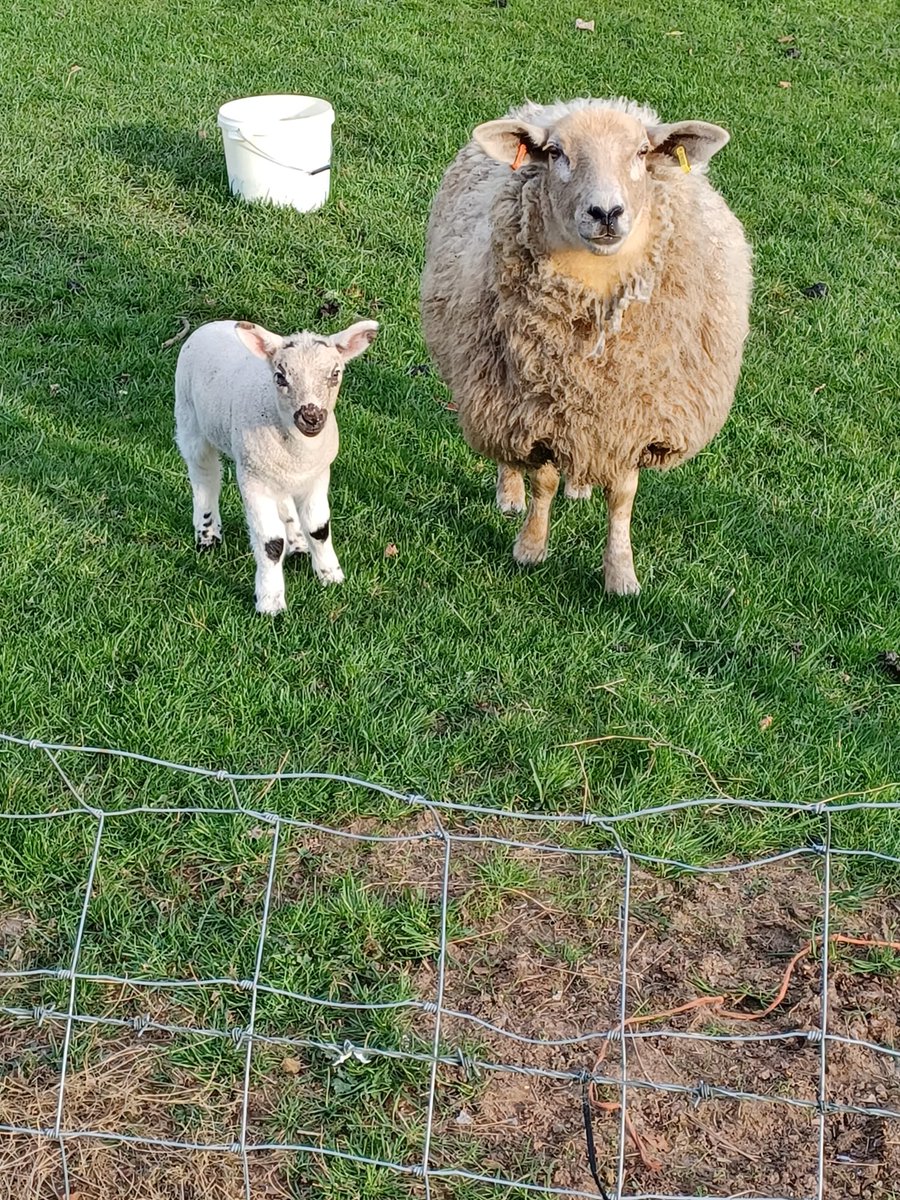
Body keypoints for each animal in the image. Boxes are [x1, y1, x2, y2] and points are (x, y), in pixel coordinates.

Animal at [174, 317, 378, 614]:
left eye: (335, 373)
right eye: (280, 376)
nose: (311, 417)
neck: (298, 449)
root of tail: (214, 323)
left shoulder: (318, 474)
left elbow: (319, 528)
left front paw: (330, 575)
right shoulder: (253, 480)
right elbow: (270, 543)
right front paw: (270, 603)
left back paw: (298, 544)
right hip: (189, 418)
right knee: (204, 475)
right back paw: (207, 535)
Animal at [420, 97, 752, 594]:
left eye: (641, 152)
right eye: (556, 152)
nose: (606, 213)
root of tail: (545, 106)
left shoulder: (633, 415)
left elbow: (622, 496)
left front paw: (621, 573)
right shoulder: (536, 408)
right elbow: (542, 481)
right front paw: (531, 548)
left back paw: (579, 488)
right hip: (492, 388)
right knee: (507, 453)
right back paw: (509, 493)